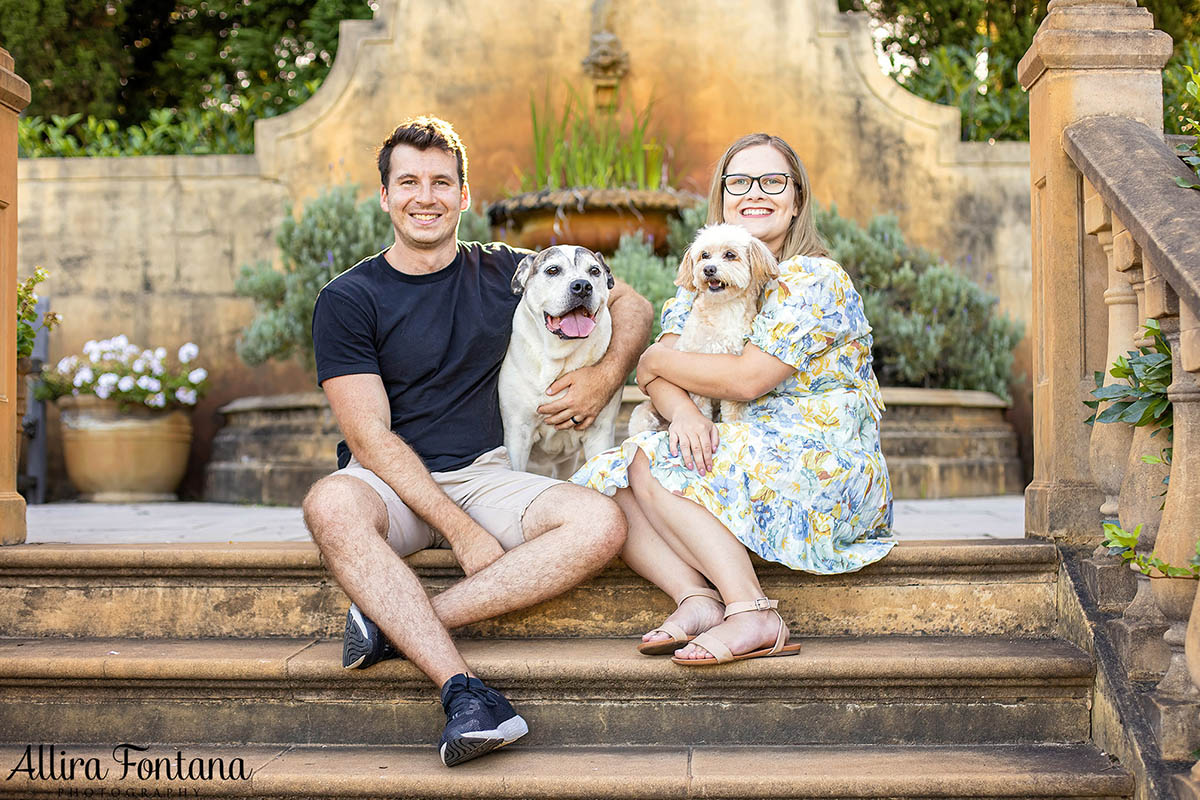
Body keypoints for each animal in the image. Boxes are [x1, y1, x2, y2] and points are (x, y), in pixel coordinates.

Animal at [499, 247, 624, 479]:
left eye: (594, 271)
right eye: (553, 270)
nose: (582, 286)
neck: (560, 357)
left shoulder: (599, 434)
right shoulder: (517, 434)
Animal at [628, 224, 777, 438]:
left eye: (730, 254)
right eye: (704, 255)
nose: (708, 269)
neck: (723, 309)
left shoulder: (733, 377)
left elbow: (732, 411)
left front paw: (734, 425)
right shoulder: (693, 373)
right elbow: (700, 410)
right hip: (642, 416)